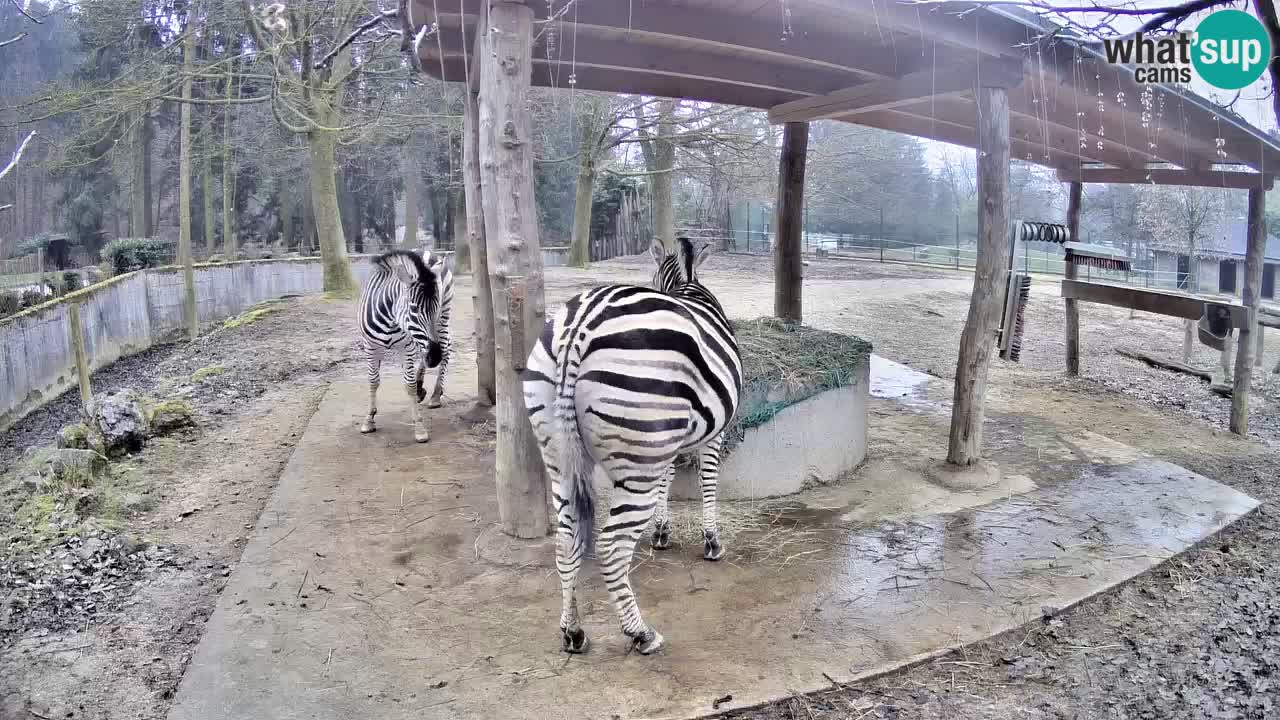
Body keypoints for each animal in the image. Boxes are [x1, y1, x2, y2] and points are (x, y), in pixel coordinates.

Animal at [360, 245, 455, 440]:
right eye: (414, 309)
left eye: (435, 308)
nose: (435, 357)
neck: (390, 318)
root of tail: (426, 251)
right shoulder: (370, 346)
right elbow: (373, 381)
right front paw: (369, 419)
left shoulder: (407, 347)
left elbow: (408, 384)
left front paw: (419, 427)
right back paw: (422, 387)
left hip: (444, 317)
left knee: (446, 347)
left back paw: (435, 395)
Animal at [519, 237, 742, 655]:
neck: (687, 285)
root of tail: (579, 326)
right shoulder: (712, 431)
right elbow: (707, 482)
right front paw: (711, 542)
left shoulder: (668, 440)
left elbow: (668, 479)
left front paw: (662, 532)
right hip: (637, 463)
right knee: (611, 547)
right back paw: (641, 633)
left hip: (559, 453)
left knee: (566, 540)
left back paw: (573, 632)